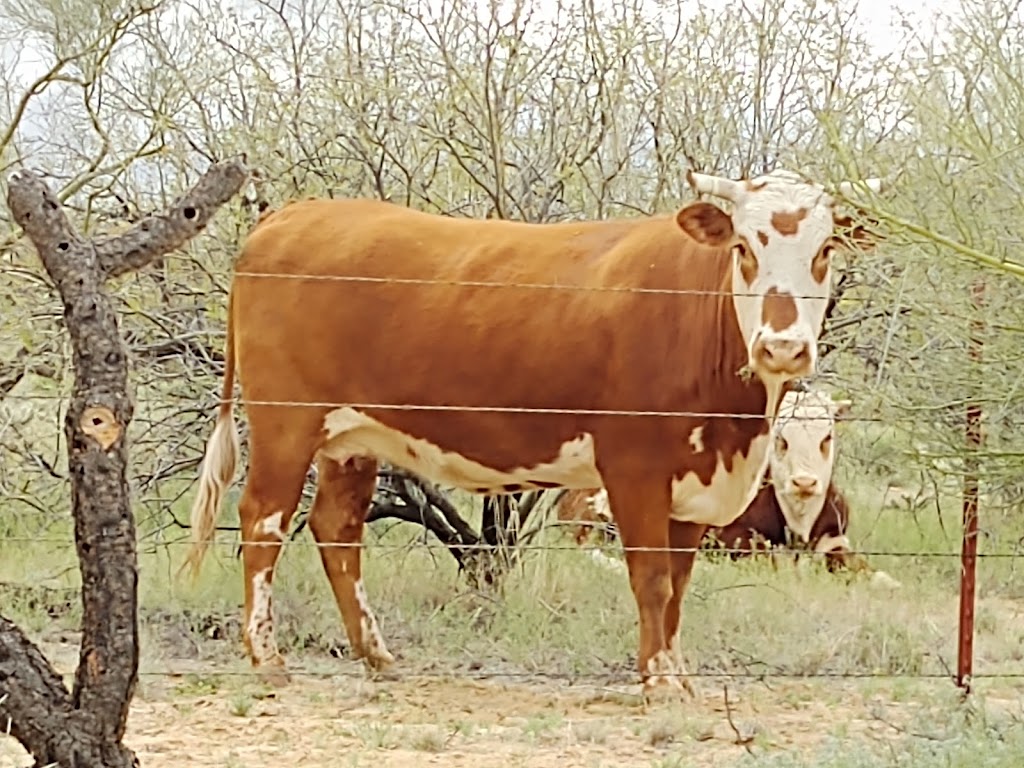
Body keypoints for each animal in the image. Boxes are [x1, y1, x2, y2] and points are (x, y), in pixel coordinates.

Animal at [182, 169, 880, 704]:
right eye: (743, 248)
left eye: (824, 251)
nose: (783, 346)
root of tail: (293, 214)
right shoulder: (633, 467)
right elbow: (652, 579)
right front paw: (656, 682)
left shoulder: (693, 485)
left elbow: (679, 588)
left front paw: (679, 677)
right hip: (286, 421)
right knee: (263, 520)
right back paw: (267, 658)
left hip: (352, 438)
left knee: (336, 528)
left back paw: (377, 655)